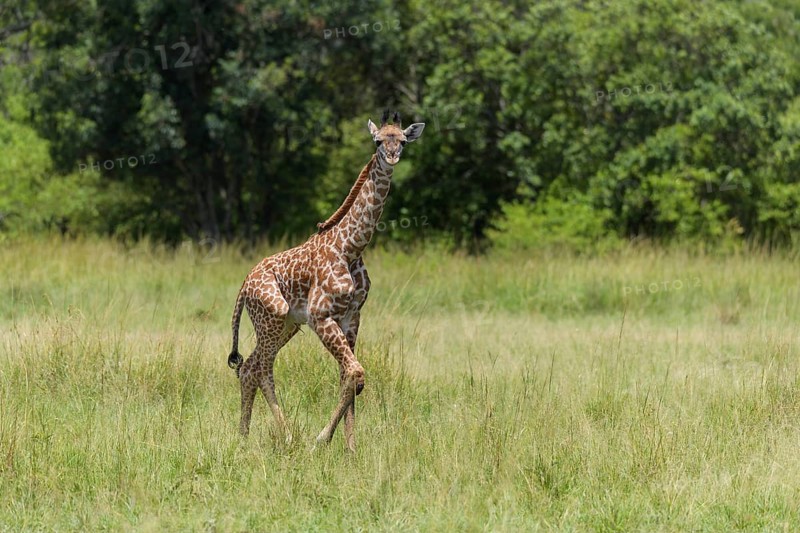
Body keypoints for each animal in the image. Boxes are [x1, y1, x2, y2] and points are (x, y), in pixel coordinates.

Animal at [227, 110, 425, 451]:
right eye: (377, 140)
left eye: (401, 140)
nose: (391, 156)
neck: (351, 248)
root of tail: (243, 286)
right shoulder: (321, 316)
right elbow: (355, 371)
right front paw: (321, 439)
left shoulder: (352, 317)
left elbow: (350, 377)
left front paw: (351, 448)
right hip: (272, 316)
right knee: (259, 367)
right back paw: (286, 436)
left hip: (289, 324)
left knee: (249, 366)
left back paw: (244, 435)